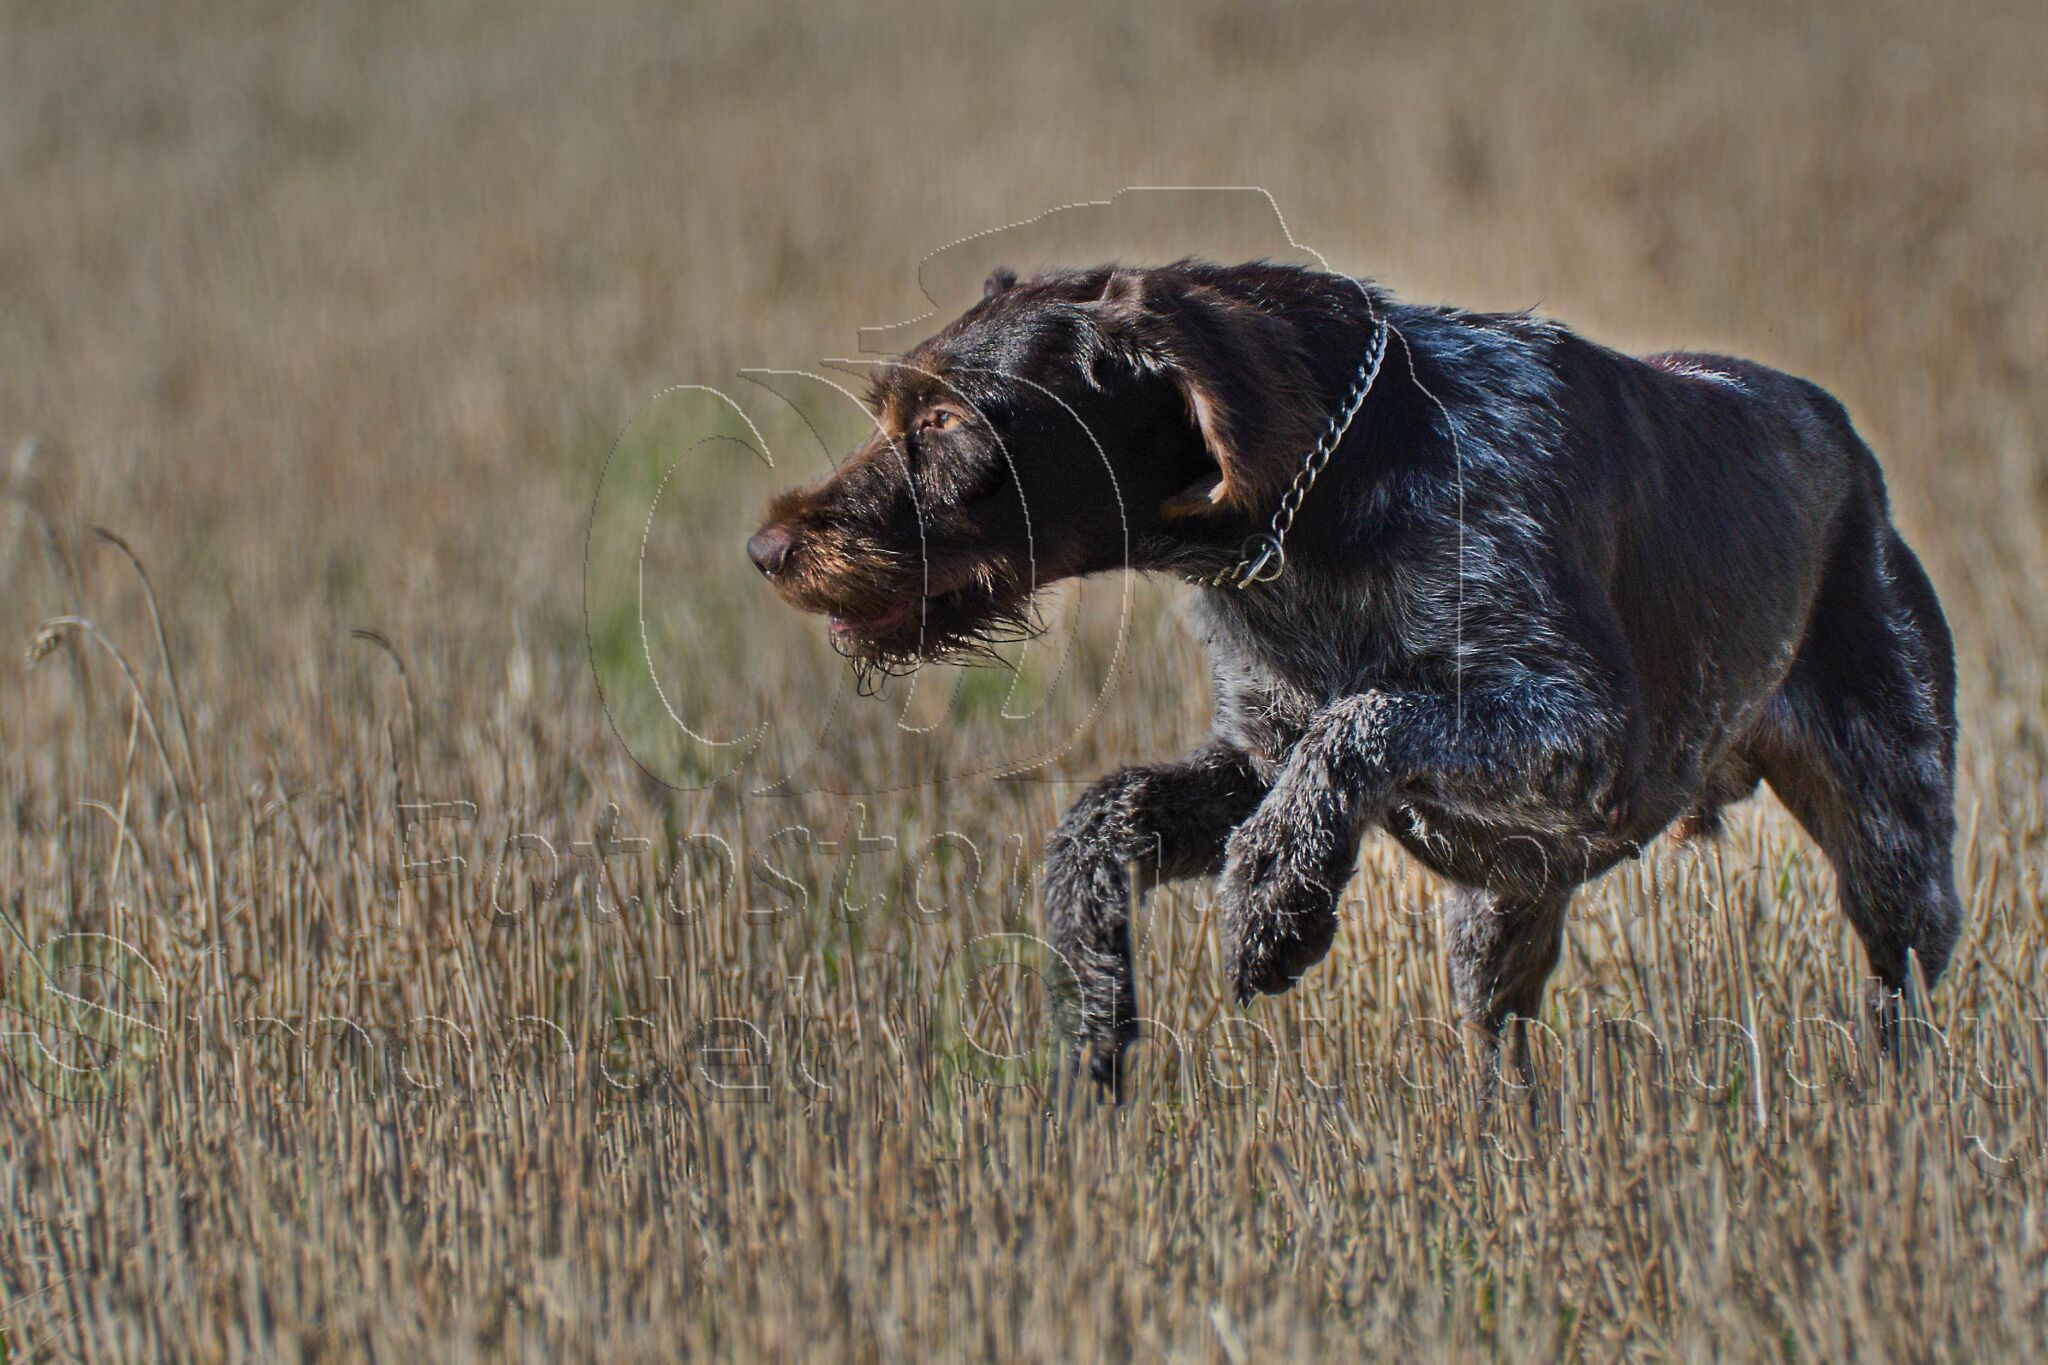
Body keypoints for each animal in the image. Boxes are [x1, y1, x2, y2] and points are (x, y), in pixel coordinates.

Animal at [747, 260, 1962, 1096]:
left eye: (946, 422)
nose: (768, 548)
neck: (1303, 524)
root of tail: (1845, 444)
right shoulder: (1256, 755)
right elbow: (1102, 815)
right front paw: (1092, 1009)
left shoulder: (1582, 736)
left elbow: (1368, 716)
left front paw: (1274, 903)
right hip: (1503, 907)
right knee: (1502, 1041)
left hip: (1894, 839)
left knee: (1902, 986)